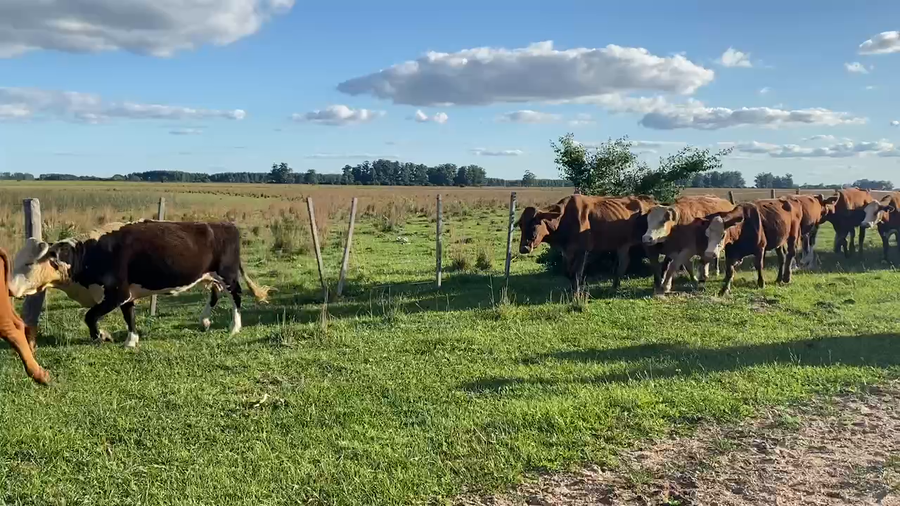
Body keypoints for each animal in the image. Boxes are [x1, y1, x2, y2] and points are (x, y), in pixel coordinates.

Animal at [9, 220, 270, 348]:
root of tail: (226, 225)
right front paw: (131, 340)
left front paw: (101, 336)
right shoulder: (126, 294)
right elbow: (129, 317)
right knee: (215, 294)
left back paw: (234, 327)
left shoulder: (116, 292)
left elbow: (90, 316)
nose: (9, 289)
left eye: (29, 263)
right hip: (209, 276)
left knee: (236, 295)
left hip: (228, 274)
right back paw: (204, 320)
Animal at [518, 194, 657, 293]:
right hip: (623, 243)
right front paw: (571, 289)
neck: (564, 219)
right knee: (624, 262)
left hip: (647, 243)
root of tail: (650, 201)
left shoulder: (582, 250)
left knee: (653, 260)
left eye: (534, 223)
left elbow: (577, 273)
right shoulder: (566, 251)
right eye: (520, 225)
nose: (524, 248)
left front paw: (576, 292)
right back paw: (614, 286)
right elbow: (568, 272)